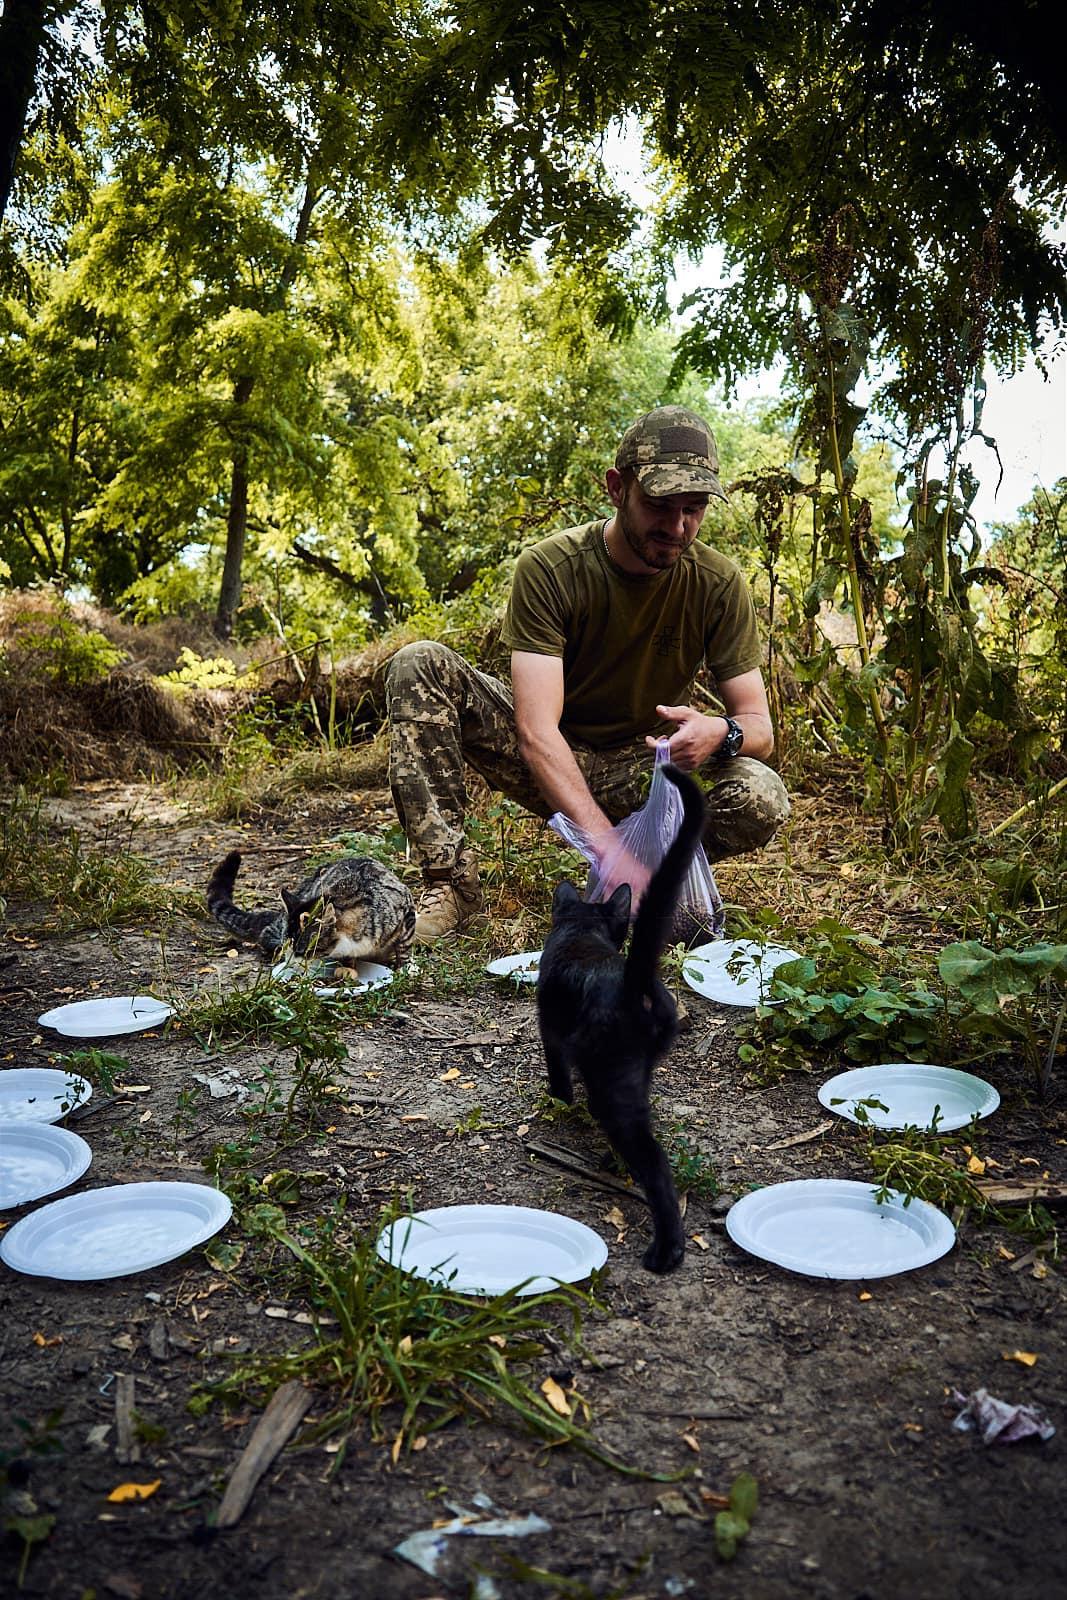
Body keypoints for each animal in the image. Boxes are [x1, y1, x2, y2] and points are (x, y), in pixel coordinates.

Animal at [206, 857, 415, 966]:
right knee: (266, 933)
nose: (289, 962)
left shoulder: (407, 912)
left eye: (301, 951)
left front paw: (403, 967)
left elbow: (404, 947)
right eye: (290, 947)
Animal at [537, 761, 703, 1273]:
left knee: (656, 1166)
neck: (582, 931)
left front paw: (558, 1101)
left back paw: (666, 1251)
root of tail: (634, 982)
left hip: (611, 1082)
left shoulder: (549, 1029)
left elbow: (556, 1072)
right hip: (637, 1070)